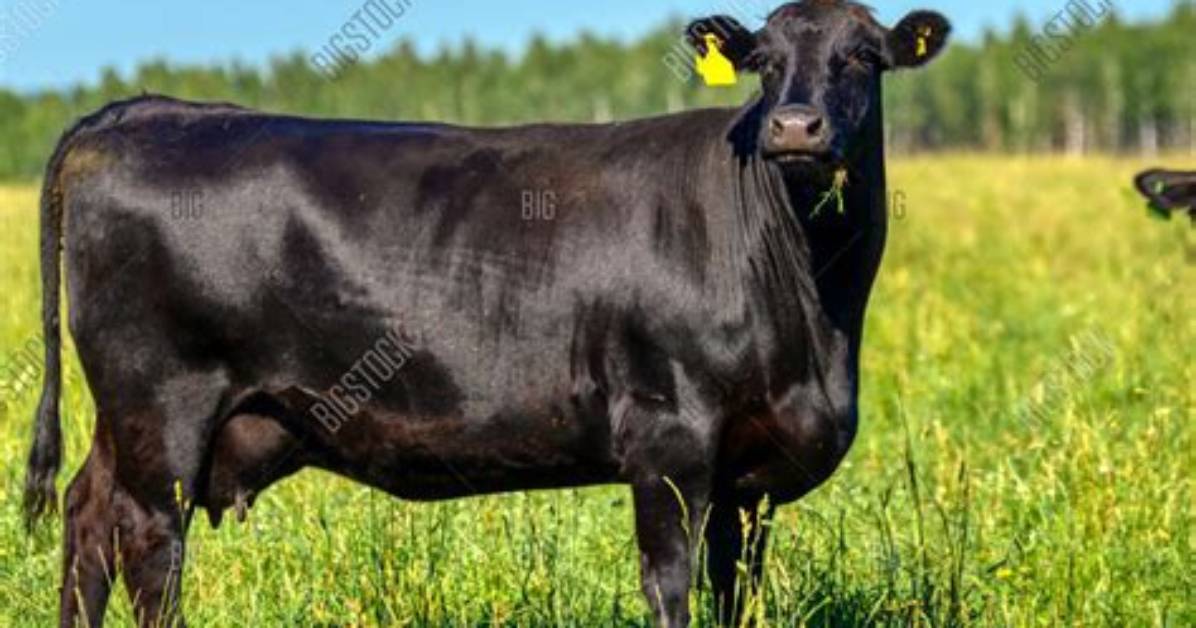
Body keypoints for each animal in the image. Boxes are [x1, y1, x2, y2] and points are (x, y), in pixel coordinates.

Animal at [23, 2, 949, 626]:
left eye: (862, 55)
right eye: (763, 60)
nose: (793, 126)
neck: (814, 313)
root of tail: (145, 109)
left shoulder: (747, 478)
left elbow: (736, 593)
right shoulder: (669, 441)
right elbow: (672, 585)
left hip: (129, 420)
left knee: (86, 516)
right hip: (163, 407)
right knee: (149, 546)